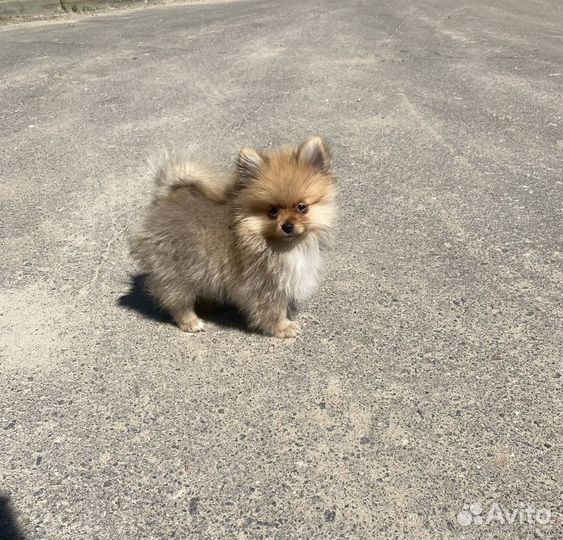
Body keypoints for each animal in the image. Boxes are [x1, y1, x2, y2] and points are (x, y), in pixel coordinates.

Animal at [130, 135, 338, 338]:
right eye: (272, 211)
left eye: (302, 207)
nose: (287, 226)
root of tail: (163, 203)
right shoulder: (265, 283)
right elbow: (272, 309)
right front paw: (282, 327)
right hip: (178, 271)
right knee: (176, 300)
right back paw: (190, 321)